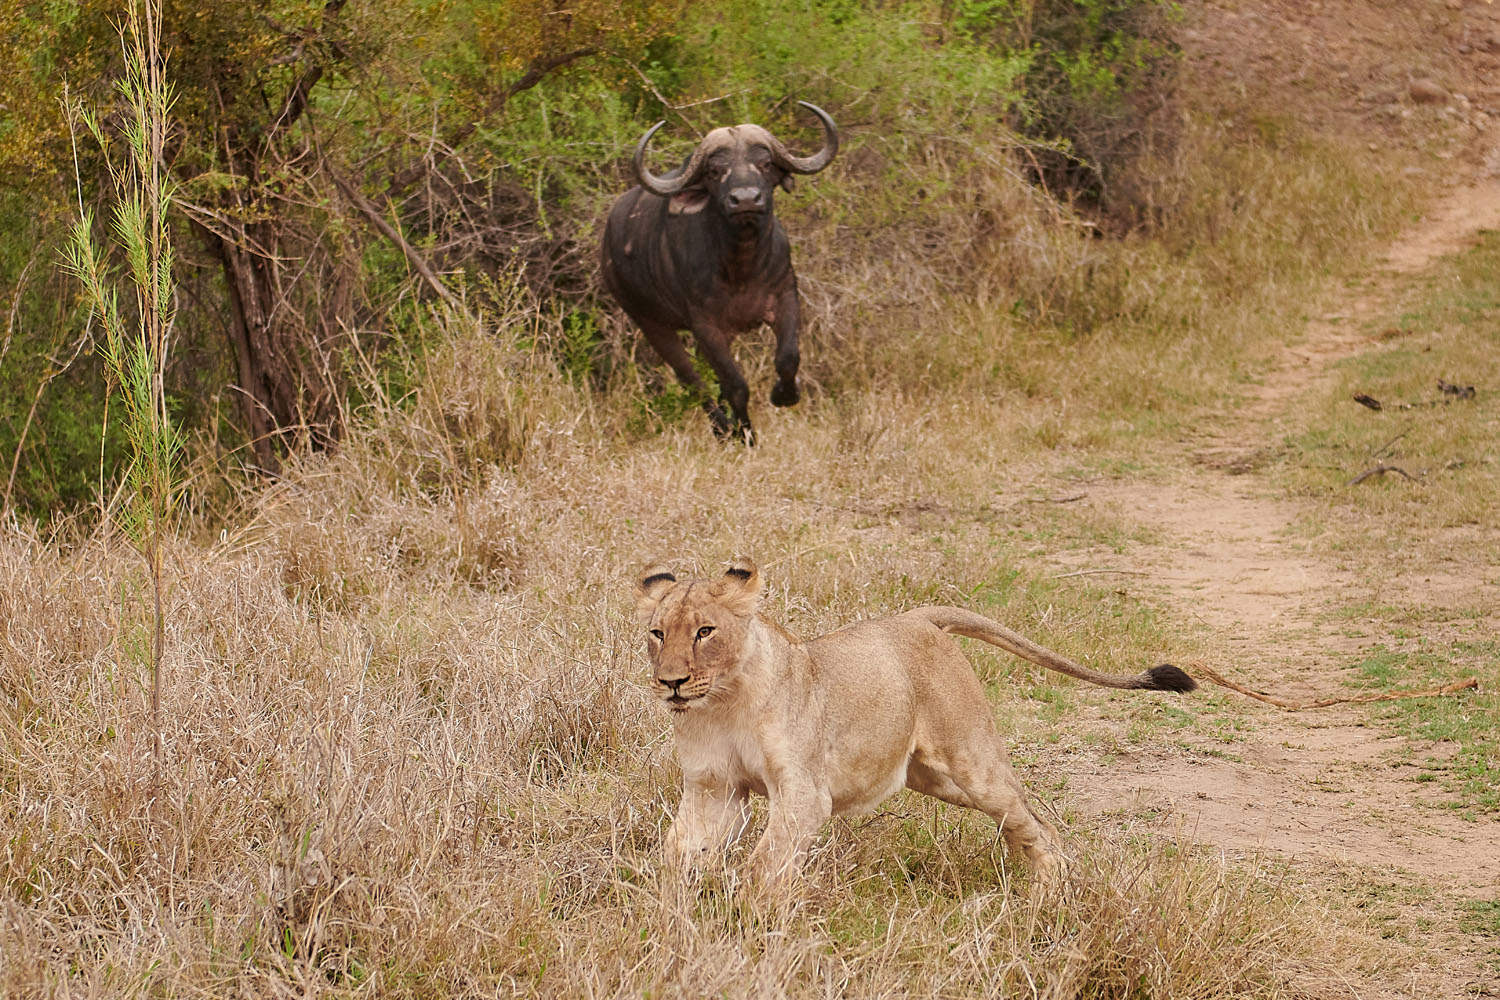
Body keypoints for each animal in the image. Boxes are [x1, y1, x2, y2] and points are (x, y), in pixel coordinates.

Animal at [597, 103, 840, 443]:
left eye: (765, 164)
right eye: (715, 171)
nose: (746, 199)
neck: (742, 267)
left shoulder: (785, 297)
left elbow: (788, 358)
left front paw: (784, 395)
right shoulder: (706, 326)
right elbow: (735, 384)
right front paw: (744, 433)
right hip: (649, 322)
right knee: (692, 380)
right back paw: (722, 427)